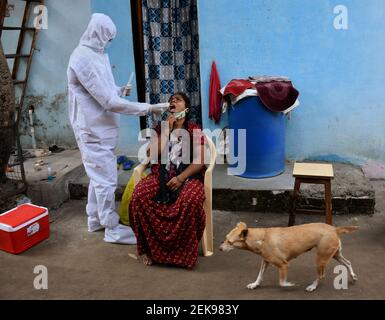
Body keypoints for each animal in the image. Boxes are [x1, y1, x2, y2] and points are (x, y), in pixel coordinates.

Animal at [219, 222, 356, 292]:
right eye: (225, 238)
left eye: (229, 242)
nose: (219, 249)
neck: (261, 238)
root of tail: (335, 229)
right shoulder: (265, 261)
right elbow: (259, 275)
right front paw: (254, 284)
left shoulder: (283, 265)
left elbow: (282, 283)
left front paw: (291, 284)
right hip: (334, 255)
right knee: (348, 262)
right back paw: (353, 276)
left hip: (320, 259)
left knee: (322, 275)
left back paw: (312, 286)